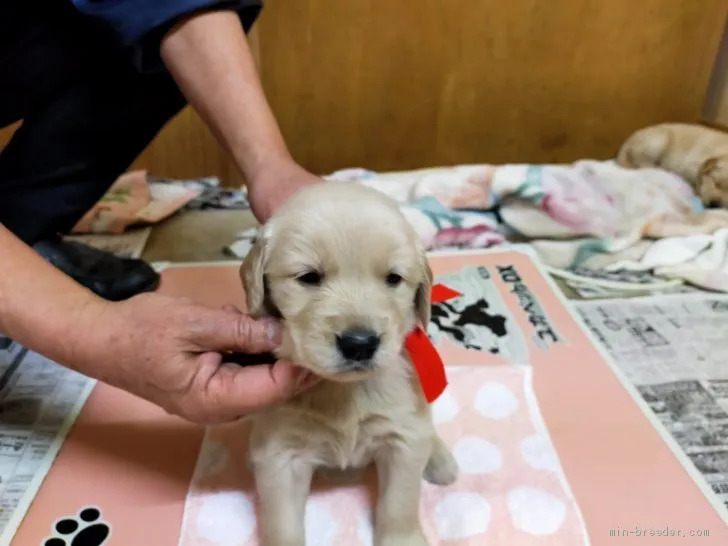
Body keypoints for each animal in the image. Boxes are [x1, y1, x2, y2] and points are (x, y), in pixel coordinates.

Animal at [240, 181, 456, 540]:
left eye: (393, 279)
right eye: (309, 277)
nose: (360, 344)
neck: (343, 390)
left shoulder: (402, 439)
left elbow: (399, 504)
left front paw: (402, 539)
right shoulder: (279, 453)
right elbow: (282, 523)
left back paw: (440, 459)